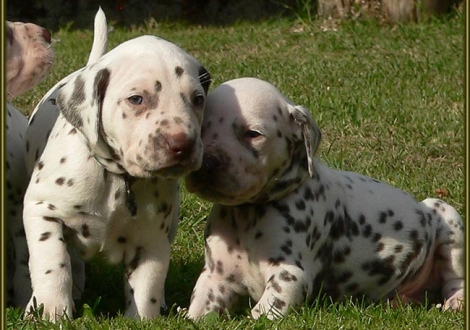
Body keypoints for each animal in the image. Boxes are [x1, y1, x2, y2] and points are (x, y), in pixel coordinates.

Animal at [23, 25, 210, 320]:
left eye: (197, 99)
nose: (182, 144)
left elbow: (148, 285)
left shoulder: (151, 238)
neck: (117, 177)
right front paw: (52, 313)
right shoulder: (42, 212)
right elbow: (53, 266)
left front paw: (143, 320)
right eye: (136, 99)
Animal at [185, 77, 464, 320]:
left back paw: (456, 302)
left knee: (456, 279)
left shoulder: (289, 275)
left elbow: (261, 314)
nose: (206, 163)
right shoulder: (215, 277)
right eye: (203, 126)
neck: (246, 214)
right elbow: (197, 312)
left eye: (253, 133)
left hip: (447, 215)